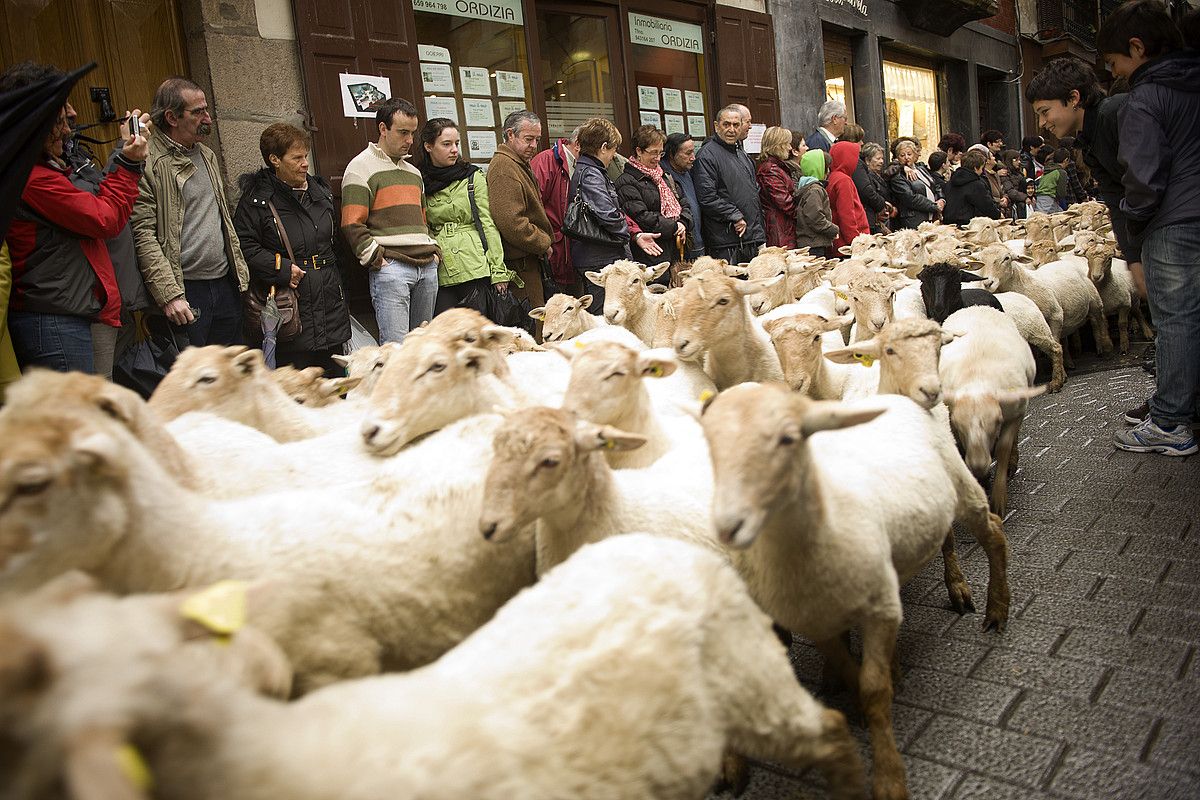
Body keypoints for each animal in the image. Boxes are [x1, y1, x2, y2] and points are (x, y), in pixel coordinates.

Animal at [700, 383, 1012, 800]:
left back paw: (996, 609)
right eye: (710, 443)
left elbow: (874, 691)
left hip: (962, 484)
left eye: (788, 438)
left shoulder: (880, 610)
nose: (728, 526)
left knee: (993, 532)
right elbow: (852, 675)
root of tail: (897, 397)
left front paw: (889, 778)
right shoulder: (818, 625)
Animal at [940, 307, 1046, 513]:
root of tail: (975, 306)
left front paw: (998, 497)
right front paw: (980, 483)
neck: (977, 378)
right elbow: (962, 449)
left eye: (997, 422)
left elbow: (1004, 447)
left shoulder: (1016, 413)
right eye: (958, 426)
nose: (979, 465)